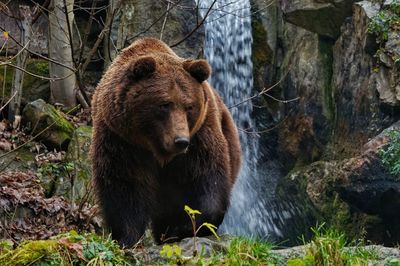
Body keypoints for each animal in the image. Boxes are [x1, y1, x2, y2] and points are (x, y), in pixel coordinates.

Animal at [90, 37, 241, 247]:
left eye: (189, 106)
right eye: (164, 104)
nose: (181, 141)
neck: (156, 148)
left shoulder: (200, 134)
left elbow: (205, 176)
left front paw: (187, 227)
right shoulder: (120, 139)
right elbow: (123, 184)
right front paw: (126, 237)